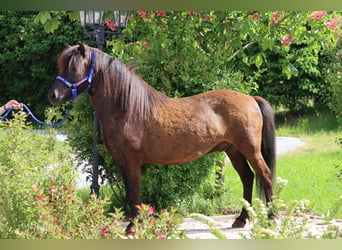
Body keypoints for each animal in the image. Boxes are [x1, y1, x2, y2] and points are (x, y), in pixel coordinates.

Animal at [48, 43, 276, 232]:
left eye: (74, 68)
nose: (53, 96)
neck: (127, 108)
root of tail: (251, 99)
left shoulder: (132, 160)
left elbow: (134, 191)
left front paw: (133, 226)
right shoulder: (120, 160)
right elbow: (129, 191)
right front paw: (134, 223)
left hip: (250, 149)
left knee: (264, 175)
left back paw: (271, 218)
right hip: (233, 150)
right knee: (248, 178)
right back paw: (241, 220)